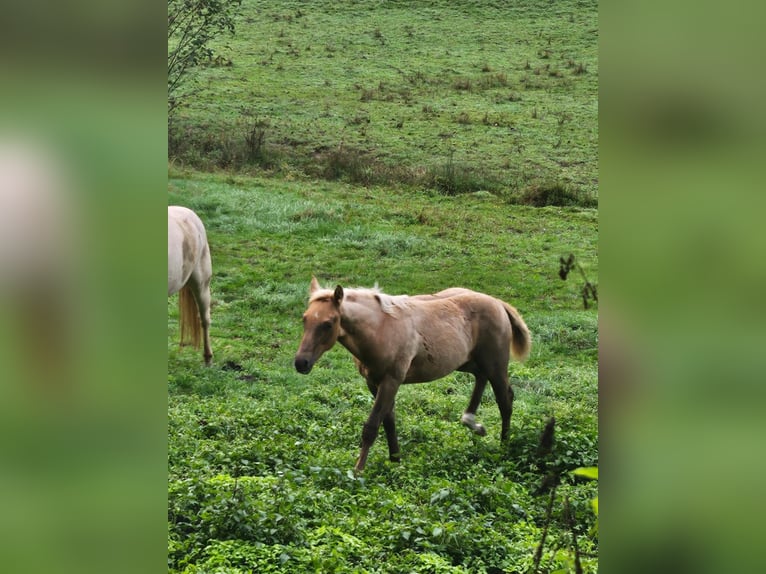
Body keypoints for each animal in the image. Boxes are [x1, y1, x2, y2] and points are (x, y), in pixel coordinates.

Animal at [296, 278, 532, 472]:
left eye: (328, 323)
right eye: (304, 319)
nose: (301, 363)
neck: (380, 329)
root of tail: (498, 303)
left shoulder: (392, 380)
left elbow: (372, 426)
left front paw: (358, 471)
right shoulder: (373, 382)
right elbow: (388, 421)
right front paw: (395, 461)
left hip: (496, 364)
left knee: (505, 400)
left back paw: (504, 446)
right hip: (468, 362)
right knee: (481, 379)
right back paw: (472, 422)